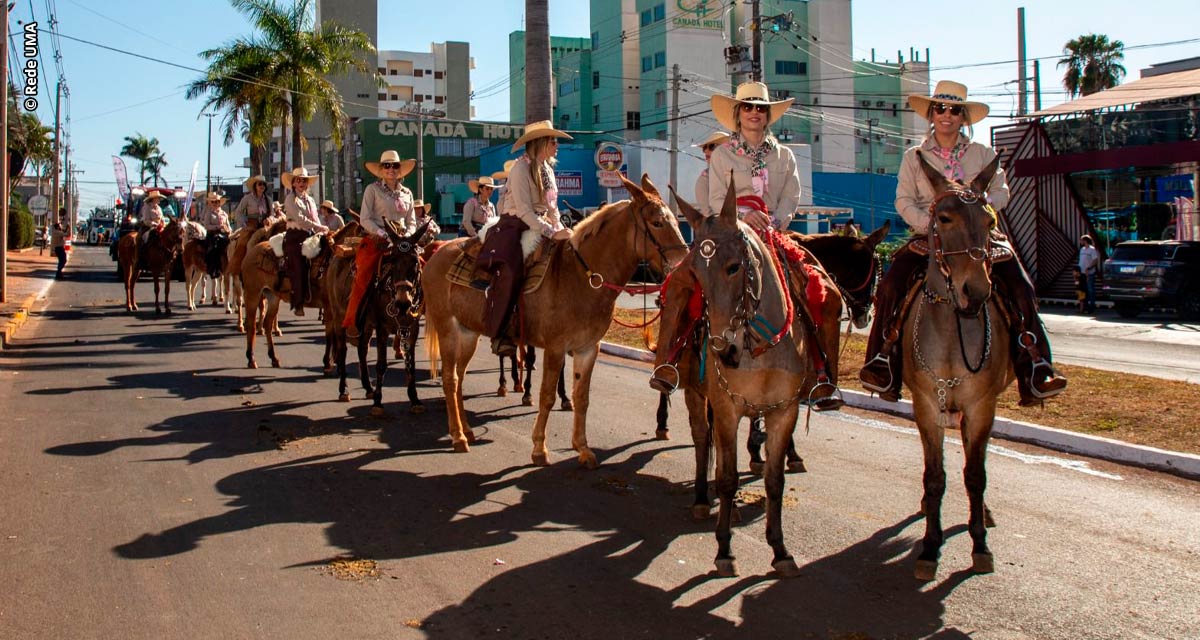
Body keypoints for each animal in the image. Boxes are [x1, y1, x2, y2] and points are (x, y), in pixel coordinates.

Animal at [326, 219, 429, 413]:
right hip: (338, 317)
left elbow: (410, 365)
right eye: (392, 260)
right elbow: (381, 365)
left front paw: (415, 399)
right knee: (342, 351)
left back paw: (368, 388)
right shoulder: (382, 328)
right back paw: (344, 390)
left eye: (415, 261)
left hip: (366, 324)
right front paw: (378, 403)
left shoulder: (412, 328)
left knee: (362, 350)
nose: (402, 303)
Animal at [422, 174, 691, 463]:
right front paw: (540, 448)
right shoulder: (555, 348)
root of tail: (436, 253)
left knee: (459, 378)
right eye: (657, 222)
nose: (682, 266)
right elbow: (547, 395)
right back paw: (458, 437)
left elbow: (581, 397)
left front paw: (583, 448)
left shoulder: (587, 349)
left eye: (677, 221)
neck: (582, 276)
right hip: (447, 328)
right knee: (450, 379)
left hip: (468, 333)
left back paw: (468, 431)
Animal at [676, 181, 816, 578]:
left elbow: (774, 480)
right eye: (695, 273)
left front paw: (780, 550)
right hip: (696, 395)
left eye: (734, 267)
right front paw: (724, 549)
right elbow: (726, 477)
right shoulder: (726, 409)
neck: (760, 349)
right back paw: (701, 500)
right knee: (702, 441)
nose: (724, 351)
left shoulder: (784, 411)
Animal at [902, 150, 1012, 578]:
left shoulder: (982, 406)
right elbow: (935, 477)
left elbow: (975, 475)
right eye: (944, 218)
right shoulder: (926, 406)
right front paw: (930, 548)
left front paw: (980, 545)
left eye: (990, 221)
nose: (976, 291)